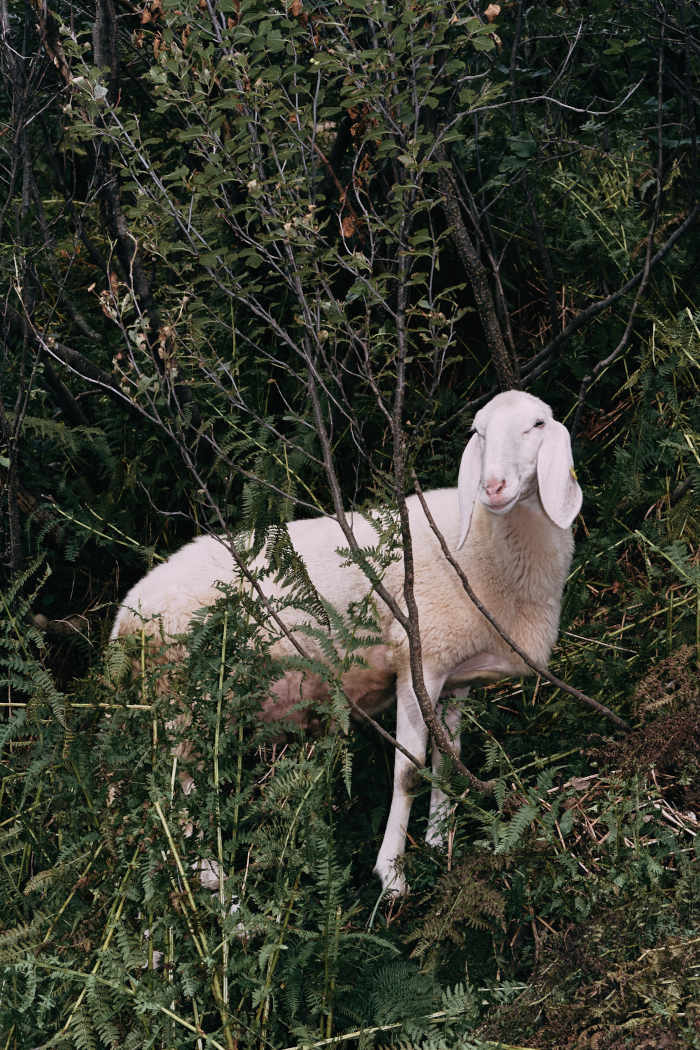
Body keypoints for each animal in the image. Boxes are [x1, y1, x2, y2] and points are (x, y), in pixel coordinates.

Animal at [110, 390, 579, 898]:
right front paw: (392, 876)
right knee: (178, 793)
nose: (492, 487)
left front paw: (439, 844)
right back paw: (216, 886)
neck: (485, 549)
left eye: (537, 424)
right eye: (480, 432)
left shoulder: (456, 674)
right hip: (186, 699)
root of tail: (126, 616)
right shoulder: (418, 664)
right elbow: (408, 772)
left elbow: (447, 762)